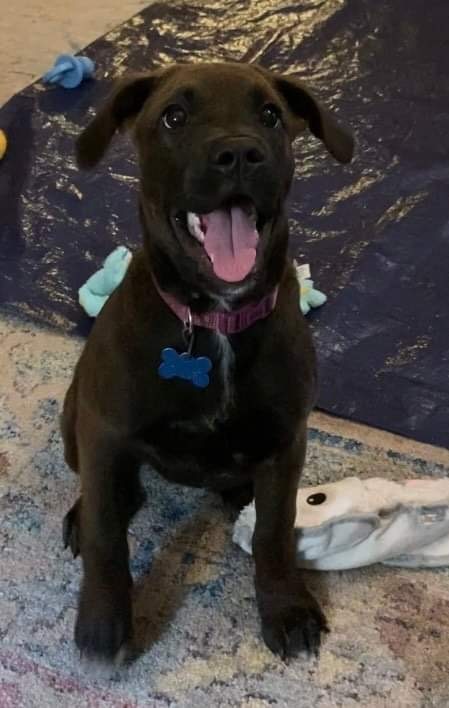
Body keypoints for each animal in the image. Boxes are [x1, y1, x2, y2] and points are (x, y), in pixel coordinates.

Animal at [61, 61, 353, 662]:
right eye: (174, 116)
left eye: (270, 115)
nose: (240, 153)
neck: (213, 323)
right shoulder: (104, 428)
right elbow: (106, 535)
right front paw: (103, 619)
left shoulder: (287, 441)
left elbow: (274, 529)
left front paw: (286, 608)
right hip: (74, 418)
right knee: (102, 491)